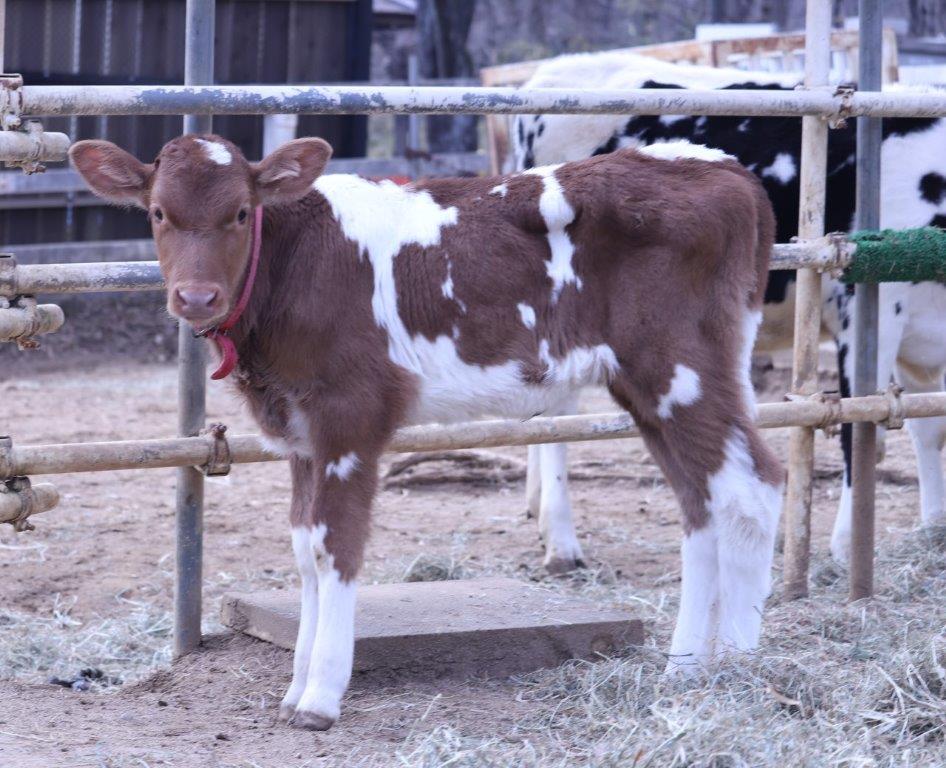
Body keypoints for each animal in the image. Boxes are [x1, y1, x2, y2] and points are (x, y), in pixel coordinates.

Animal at [70, 134, 780, 732]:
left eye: (242, 213)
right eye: (158, 213)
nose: (196, 297)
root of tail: (725, 170)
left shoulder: (352, 414)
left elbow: (334, 546)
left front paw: (320, 697)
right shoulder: (301, 431)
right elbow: (302, 549)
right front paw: (295, 688)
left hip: (678, 368)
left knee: (753, 488)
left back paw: (737, 668)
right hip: (647, 386)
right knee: (701, 503)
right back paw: (686, 667)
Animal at [516, 52, 944, 564]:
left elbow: (928, 428)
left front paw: (935, 528)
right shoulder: (866, 311)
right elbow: (861, 431)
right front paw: (846, 547)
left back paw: (539, 512)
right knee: (559, 418)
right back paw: (562, 542)